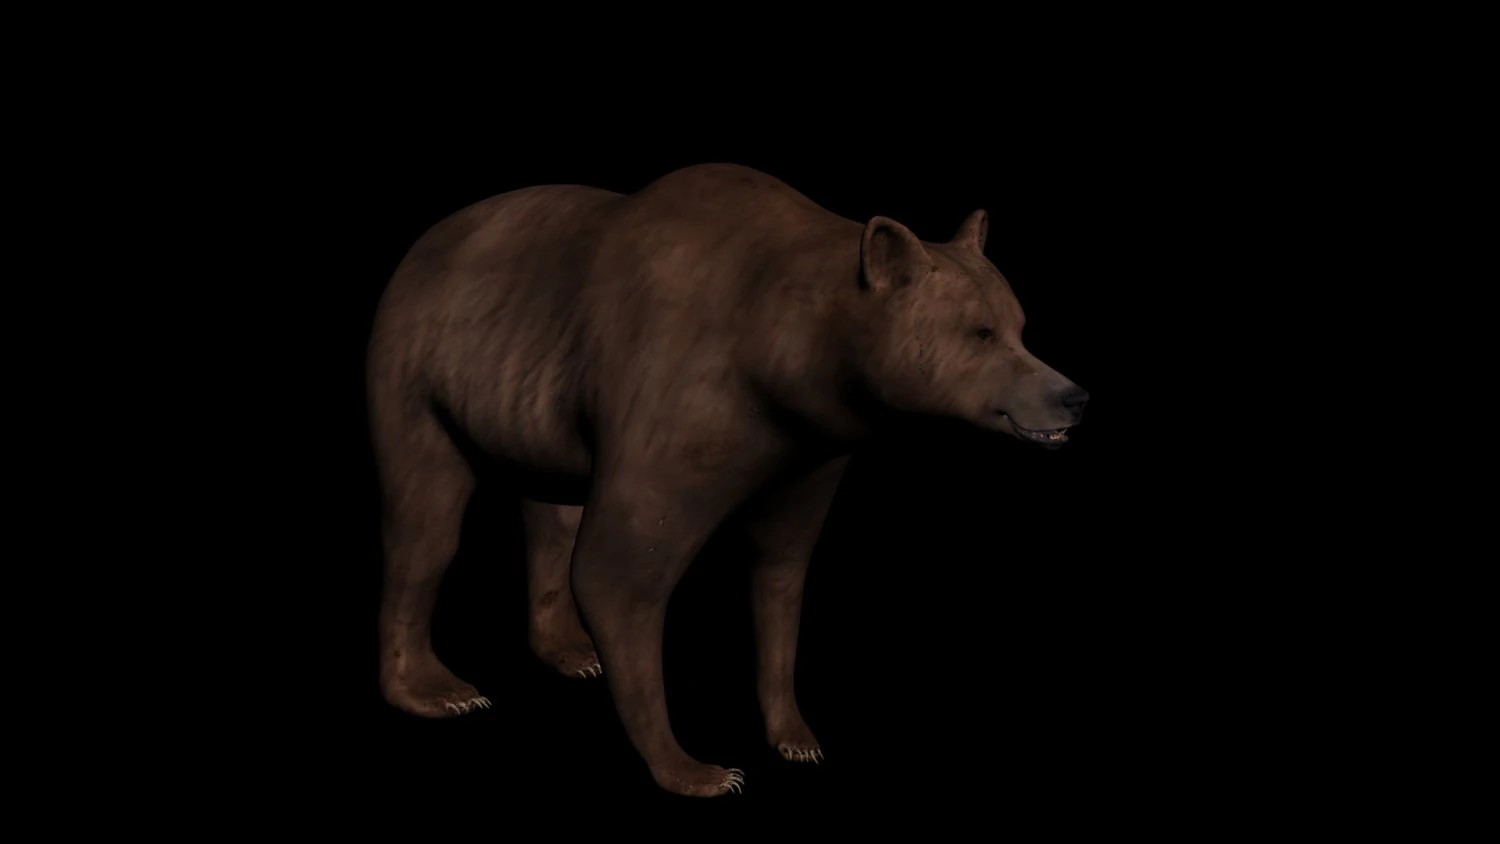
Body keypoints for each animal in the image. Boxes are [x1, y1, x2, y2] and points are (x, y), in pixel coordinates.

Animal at [366, 163, 1089, 798]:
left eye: (1023, 326)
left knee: (550, 513)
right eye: (981, 332)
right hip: (419, 368)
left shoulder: (809, 454)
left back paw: (570, 650)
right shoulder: (680, 398)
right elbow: (619, 570)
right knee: (427, 524)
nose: (1072, 396)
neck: (787, 356)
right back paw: (437, 688)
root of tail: (423, 241)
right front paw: (699, 768)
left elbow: (781, 574)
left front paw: (796, 734)